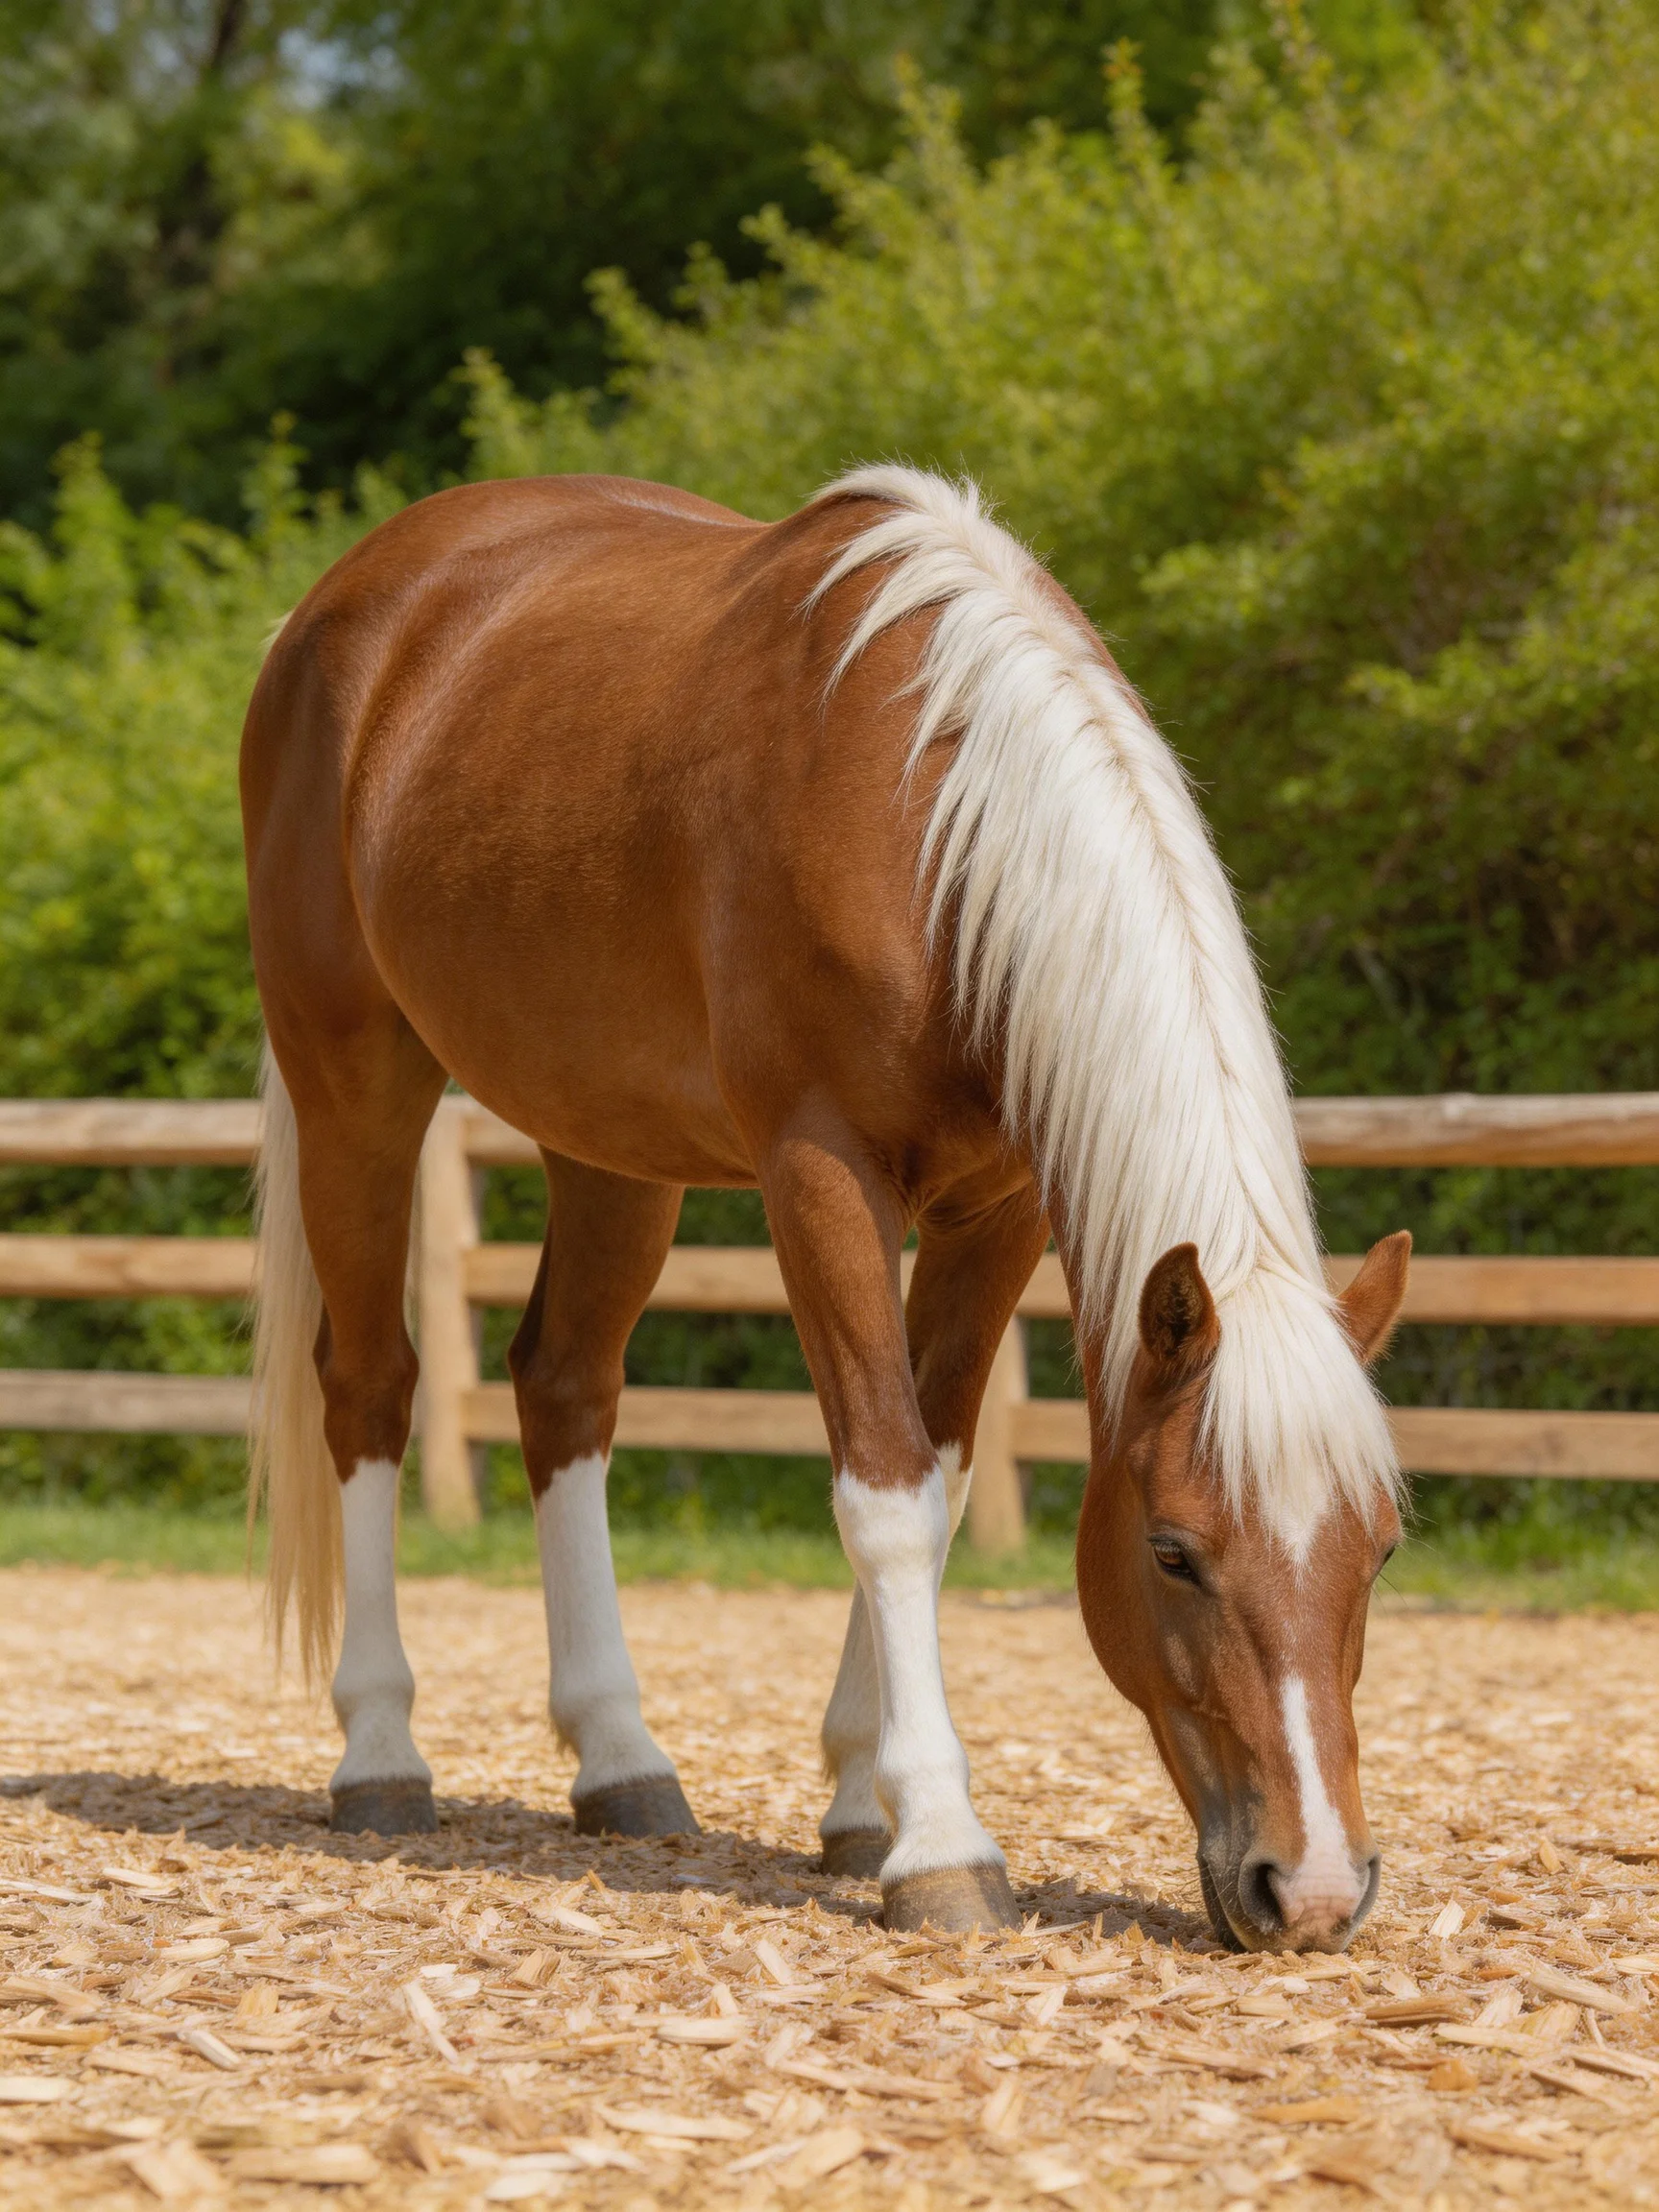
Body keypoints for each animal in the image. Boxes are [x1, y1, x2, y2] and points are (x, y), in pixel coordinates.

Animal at [242, 465, 1410, 1946]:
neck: (934, 817)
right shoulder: (822, 1176)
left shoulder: (997, 1208)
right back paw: (382, 1755)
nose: (1310, 1889)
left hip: (610, 1145)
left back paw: (620, 1762)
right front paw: (942, 1845)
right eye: (1174, 1552)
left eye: (1378, 1551)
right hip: (355, 1078)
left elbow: (942, 1476)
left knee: (564, 1387)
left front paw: (865, 1805)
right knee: (372, 1390)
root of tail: (339, 607)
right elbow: (885, 1489)